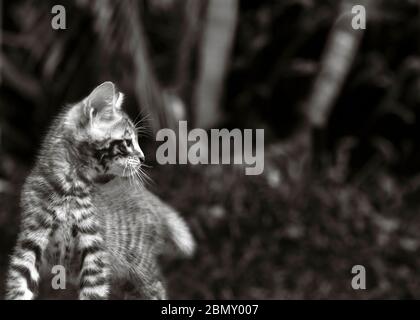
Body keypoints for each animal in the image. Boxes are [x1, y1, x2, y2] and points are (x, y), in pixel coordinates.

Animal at [4, 81, 195, 298]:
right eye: (127, 142)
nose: (143, 157)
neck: (70, 188)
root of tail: (150, 198)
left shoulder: (94, 249)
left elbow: (93, 293)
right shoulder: (31, 238)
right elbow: (20, 286)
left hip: (142, 266)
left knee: (157, 288)